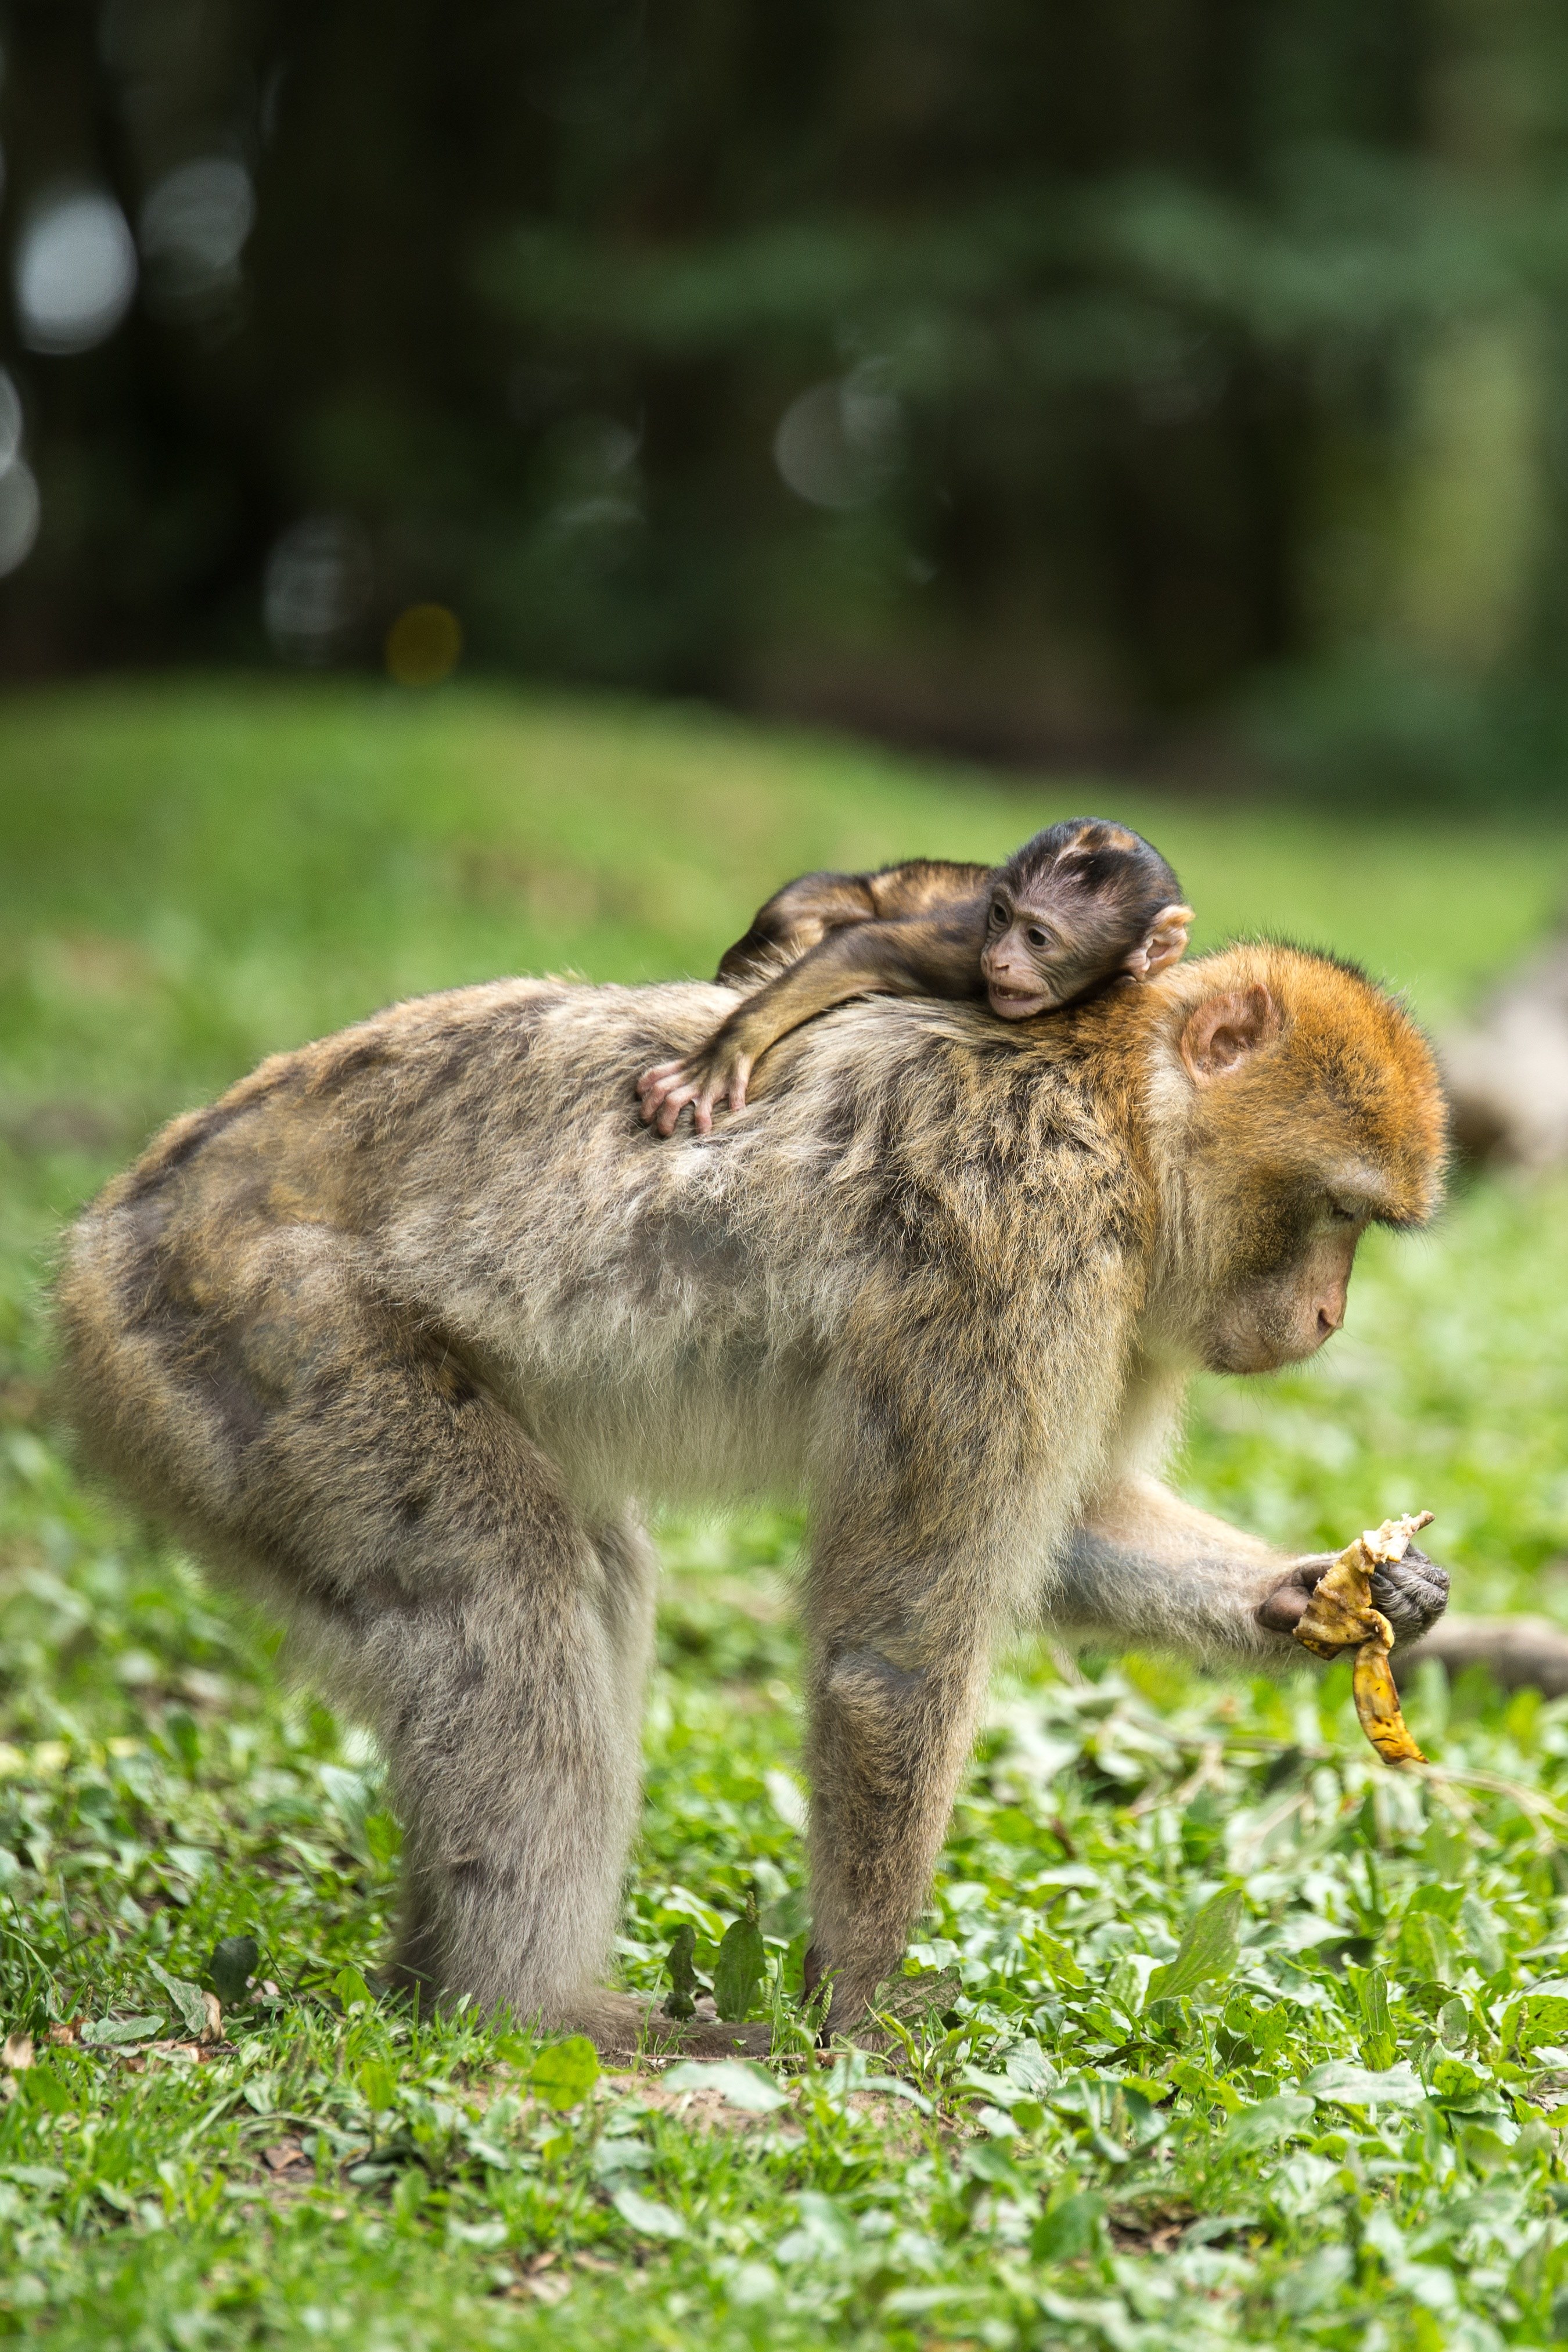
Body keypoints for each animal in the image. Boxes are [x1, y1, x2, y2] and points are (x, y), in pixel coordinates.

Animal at [54, 940, 1449, 2050]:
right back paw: (525, 2007)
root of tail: (99, 1247)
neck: (1117, 1110)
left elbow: (1069, 1532)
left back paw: (438, 1981)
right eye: (1334, 1212)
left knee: (584, 1578)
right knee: (508, 1588)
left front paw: (1331, 1594)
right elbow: (895, 1652)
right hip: (259, 1341)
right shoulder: (1022, 1243)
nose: (1328, 1317)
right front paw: (864, 2012)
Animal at [637, 817, 1193, 1136]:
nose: (1000, 959)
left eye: (1037, 938)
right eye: (1000, 916)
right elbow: (865, 946)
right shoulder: (966, 949)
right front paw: (723, 1054)